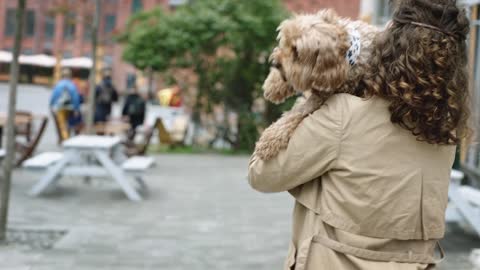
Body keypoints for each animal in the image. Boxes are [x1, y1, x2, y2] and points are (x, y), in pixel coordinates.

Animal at [255, 9, 378, 159]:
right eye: (286, 42)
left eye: (296, 51)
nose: (275, 63)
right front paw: (273, 85)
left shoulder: (320, 98)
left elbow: (296, 113)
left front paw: (268, 140)